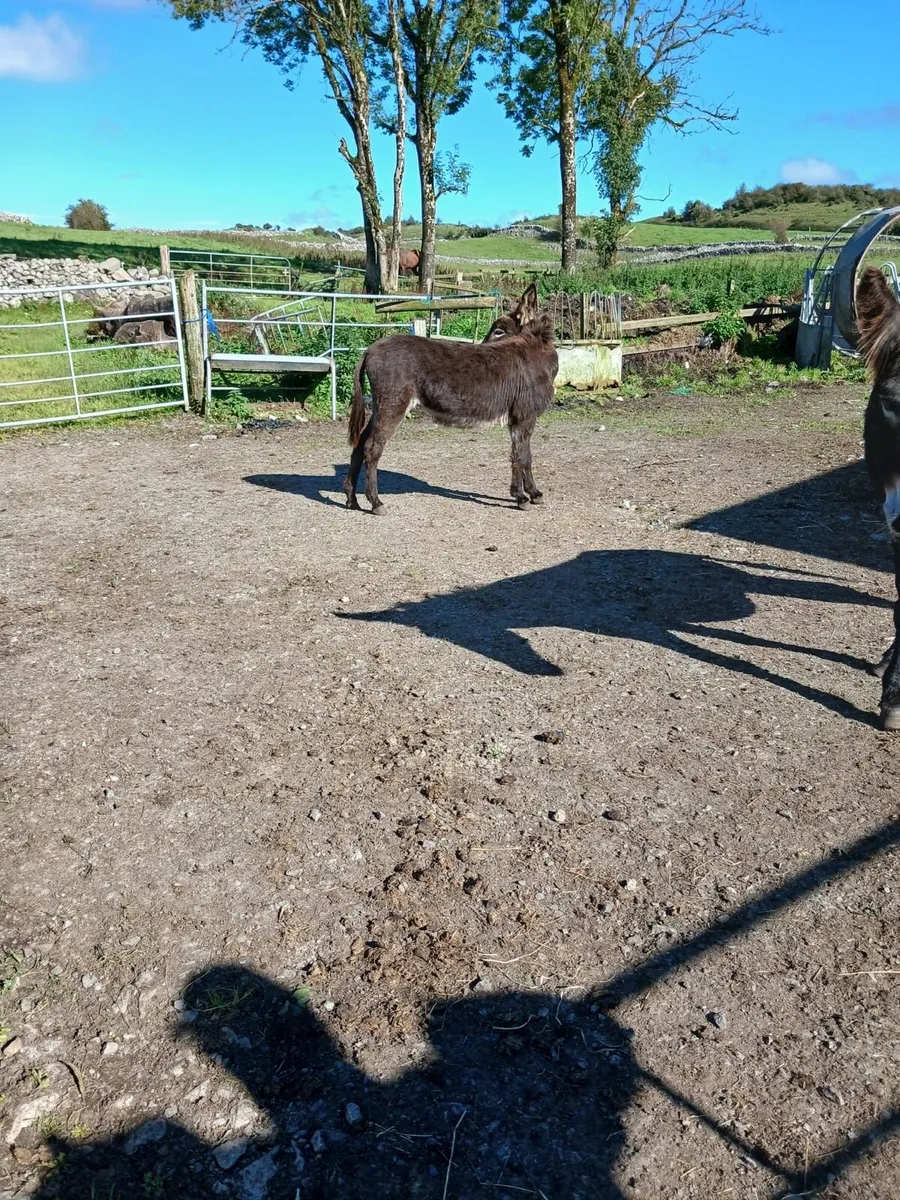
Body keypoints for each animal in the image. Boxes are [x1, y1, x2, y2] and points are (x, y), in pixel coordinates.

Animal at [342, 286, 557, 514]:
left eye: (499, 331)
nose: (481, 346)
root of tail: (369, 350)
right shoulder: (524, 416)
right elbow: (522, 455)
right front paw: (522, 497)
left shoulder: (519, 418)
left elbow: (524, 455)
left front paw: (533, 493)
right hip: (393, 405)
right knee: (372, 447)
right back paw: (376, 502)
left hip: (380, 406)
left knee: (360, 444)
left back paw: (351, 499)